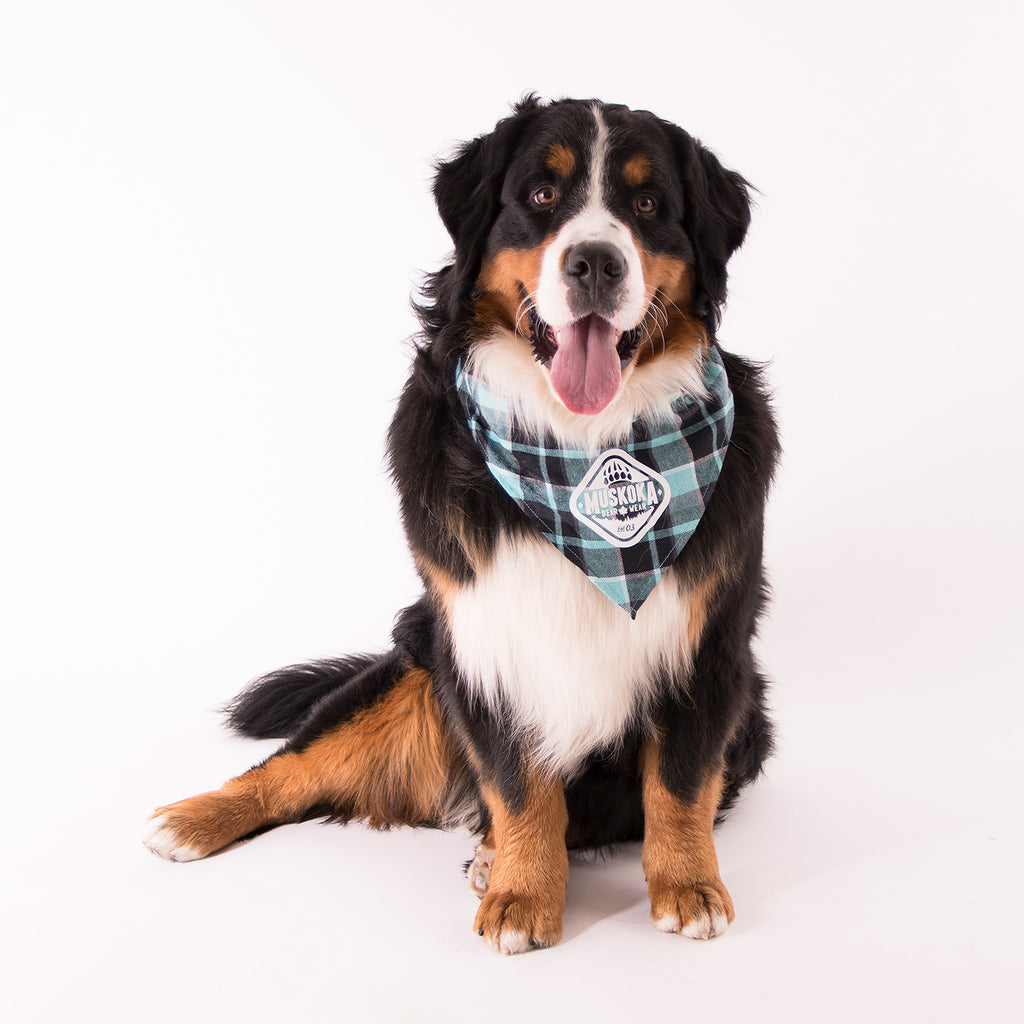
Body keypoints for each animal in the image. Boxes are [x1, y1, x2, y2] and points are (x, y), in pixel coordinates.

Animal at [142, 94, 774, 950]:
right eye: (540, 194)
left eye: (648, 205)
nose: (596, 263)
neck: (582, 447)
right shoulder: (481, 632)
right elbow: (519, 783)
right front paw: (522, 893)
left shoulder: (708, 640)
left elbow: (677, 783)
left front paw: (688, 885)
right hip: (410, 672)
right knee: (292, 767)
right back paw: (193, 817)